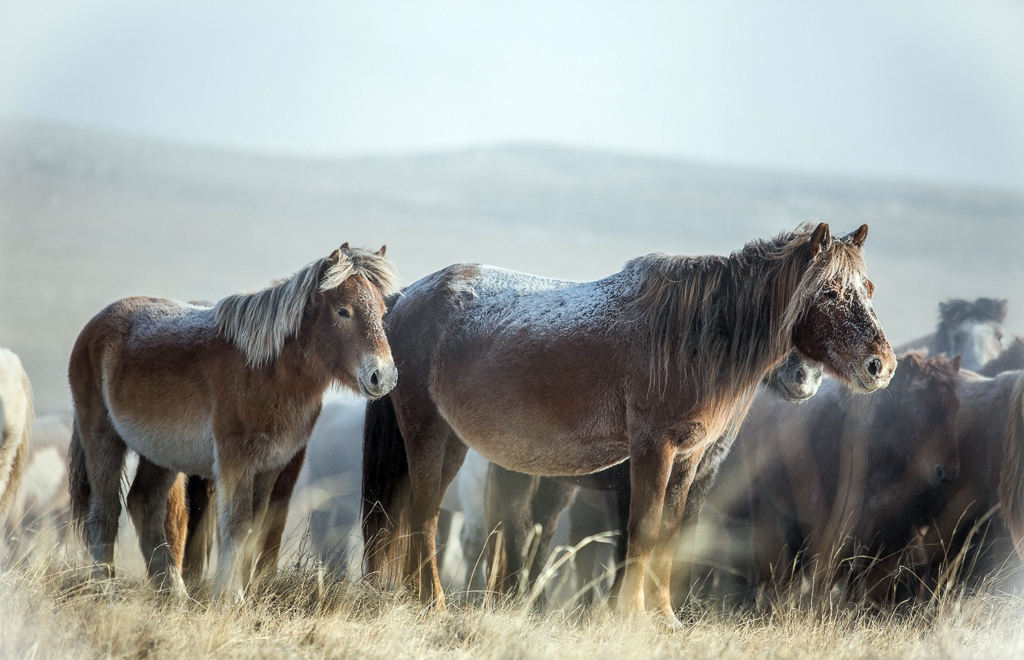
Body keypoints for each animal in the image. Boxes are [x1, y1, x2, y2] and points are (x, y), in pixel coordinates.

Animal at [67, 244, 398, 601]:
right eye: (342, 311)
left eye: (382, 312)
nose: (382, 376)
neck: (264, 369)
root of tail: (94, 326)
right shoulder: (235, 460)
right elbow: (236, 524)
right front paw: (228, 596)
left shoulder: (270, 465)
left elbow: (254, 526)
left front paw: (237, 593)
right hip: (102, 437)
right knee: (105, 511)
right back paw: (105, 588)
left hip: (160, 452)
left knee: (145, 504)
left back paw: (174, 591)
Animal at [479, 351, 824, 605]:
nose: (807, 377)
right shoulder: (628, 486)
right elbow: (629, 545)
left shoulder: (697, 482)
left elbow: (681, 539)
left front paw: (678, 611)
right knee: (517, 523)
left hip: (556, 483)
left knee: (541, 527)